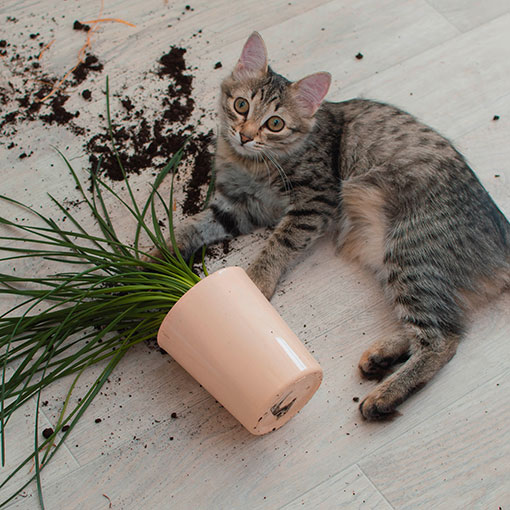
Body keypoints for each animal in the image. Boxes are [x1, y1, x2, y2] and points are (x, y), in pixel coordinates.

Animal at [147, 32, 510, 422]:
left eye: (274, 123)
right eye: (241, 105)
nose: (244, 135)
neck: (251, 163)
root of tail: (503, 235)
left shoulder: (314, 202)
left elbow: (278, 245)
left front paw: (254, 285)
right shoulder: (238, 208)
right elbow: (191, 228)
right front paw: (153, 261)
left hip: (409, 250)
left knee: (444, 339)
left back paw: (384, 395)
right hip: (394, 262)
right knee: (442, 323)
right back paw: (382, 358)